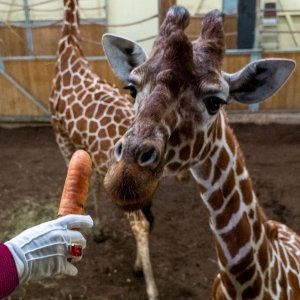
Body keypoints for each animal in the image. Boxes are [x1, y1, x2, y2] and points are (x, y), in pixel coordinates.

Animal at [50, 0, 159, 298]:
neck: (68, 48)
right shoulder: (88, 150)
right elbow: (94, 184)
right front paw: (97, 230)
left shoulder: (62, 136)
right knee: (148, 217)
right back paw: (137, 267)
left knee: (141, 223)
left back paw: (151, 287)